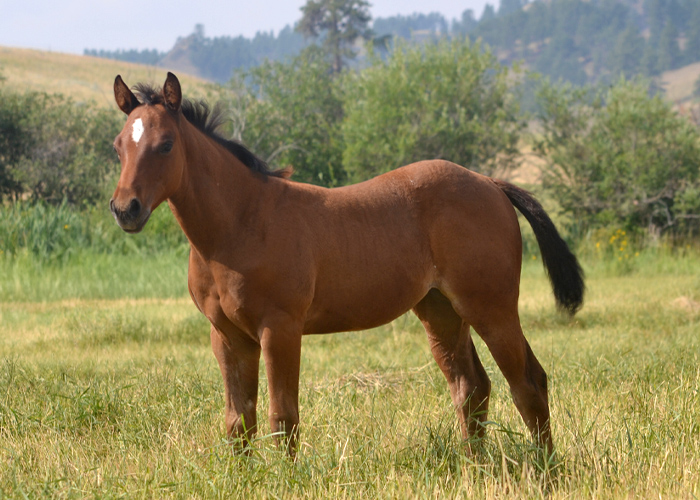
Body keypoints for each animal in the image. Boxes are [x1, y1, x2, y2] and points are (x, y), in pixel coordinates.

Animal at [112, 71, 584, 458]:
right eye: (119, 146)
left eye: (166, 144)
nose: (125, 209)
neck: (239, 224)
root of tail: (490, 184)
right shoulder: (227, 336)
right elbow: (238, 421)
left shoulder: (280, 329)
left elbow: (283, 417)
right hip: (441, 311)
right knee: (472, 388)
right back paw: (475, 468)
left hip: (491, 307)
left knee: (528, 382)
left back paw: (545, 470)